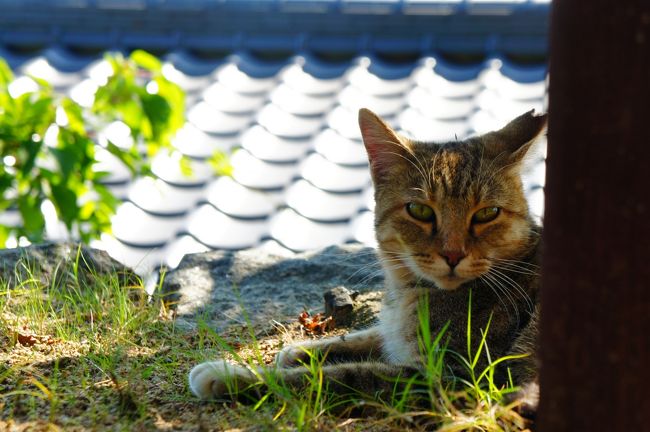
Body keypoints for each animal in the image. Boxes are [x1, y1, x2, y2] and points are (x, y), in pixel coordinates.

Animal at [189, 109, 548, 412]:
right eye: (420, 210)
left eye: (487, 213)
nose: (453, 254)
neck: (408, 292)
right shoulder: (394, 334)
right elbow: (369, 334)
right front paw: (302, 351)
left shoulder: (450, 378)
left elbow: (338, 376)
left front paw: (232, 376)